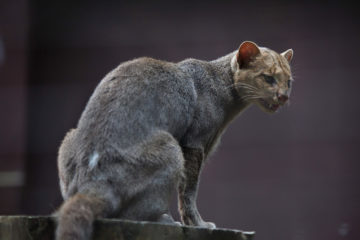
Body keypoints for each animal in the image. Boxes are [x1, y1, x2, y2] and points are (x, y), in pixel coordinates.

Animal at [55, 41, 292, 240]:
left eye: (288, 81)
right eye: (268, 77)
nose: (284, 96)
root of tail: (92, 179)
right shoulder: (195, 144)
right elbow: (189, 190)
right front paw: (199, 224)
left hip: (69, 139)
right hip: (170, 148)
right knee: (127, 212)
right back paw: (166, 220)